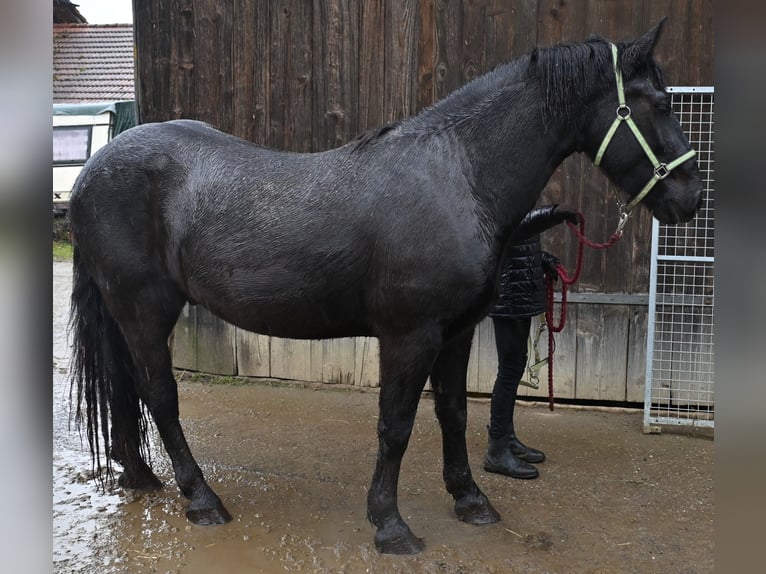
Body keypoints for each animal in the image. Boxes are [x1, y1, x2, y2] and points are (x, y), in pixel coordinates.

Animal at [68, 20, 702, 555]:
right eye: (662, 103)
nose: (691, 199)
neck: (457, 175)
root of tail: (93, 170)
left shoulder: (456, 334)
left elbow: (454, 413)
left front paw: (470, 499)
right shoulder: (409, 336)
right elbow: (395, 426)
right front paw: (390, 525)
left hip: (127, 315)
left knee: (126, 389)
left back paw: (141, 477)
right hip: (146, 311)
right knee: (160, 396)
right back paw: (201, 499)